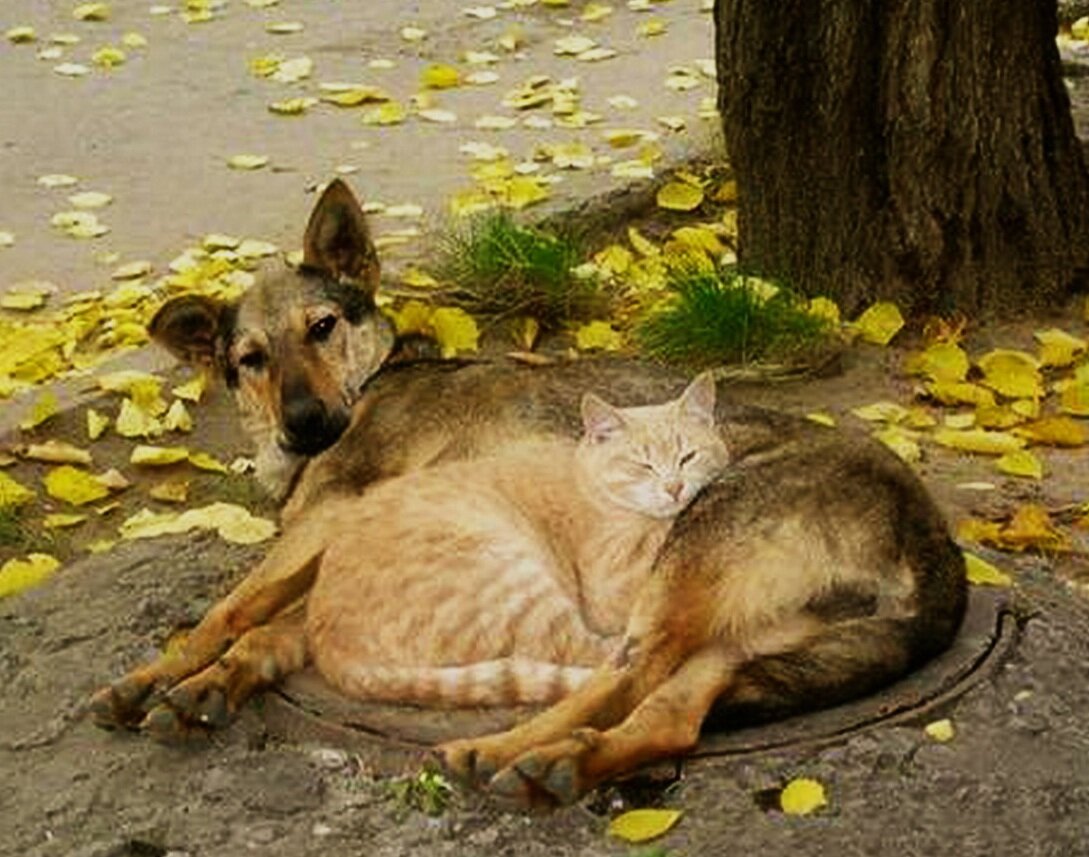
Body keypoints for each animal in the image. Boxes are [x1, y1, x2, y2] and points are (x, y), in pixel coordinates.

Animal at [302, 372, 727, 705]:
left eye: (688, 456)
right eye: (642, 465)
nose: (674, 487)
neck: (590, 482)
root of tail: (327, 645)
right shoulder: (610, 580)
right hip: (518, 587)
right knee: (599, 654)